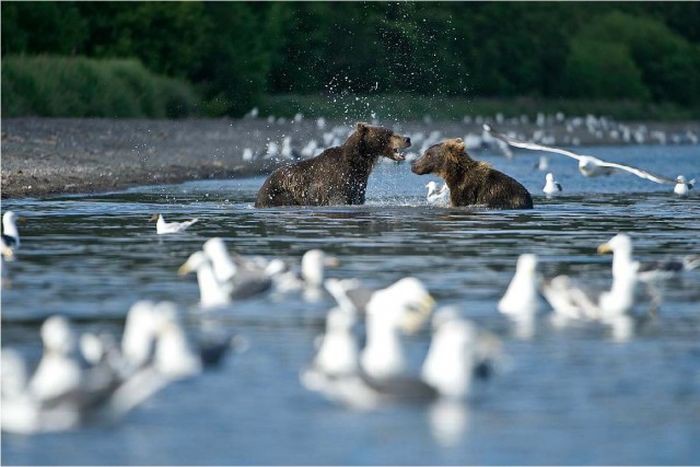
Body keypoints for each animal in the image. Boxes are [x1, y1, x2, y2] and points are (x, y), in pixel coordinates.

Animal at [256, 123, 410, 207]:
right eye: (389, 134)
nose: (407, 139)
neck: (357, 163)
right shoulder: (337, 182)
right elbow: (339, 198)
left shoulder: (358, 184)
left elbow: (358, 198)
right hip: (279, 194)